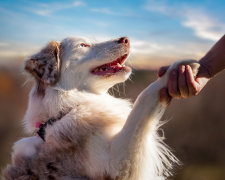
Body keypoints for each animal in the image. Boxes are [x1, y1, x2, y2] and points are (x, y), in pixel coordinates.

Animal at [2, 35, 200, 179]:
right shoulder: (117, 165)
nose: (126, 39)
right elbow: (143, 100)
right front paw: (180, 68)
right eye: (83, 45)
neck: (65, 111)